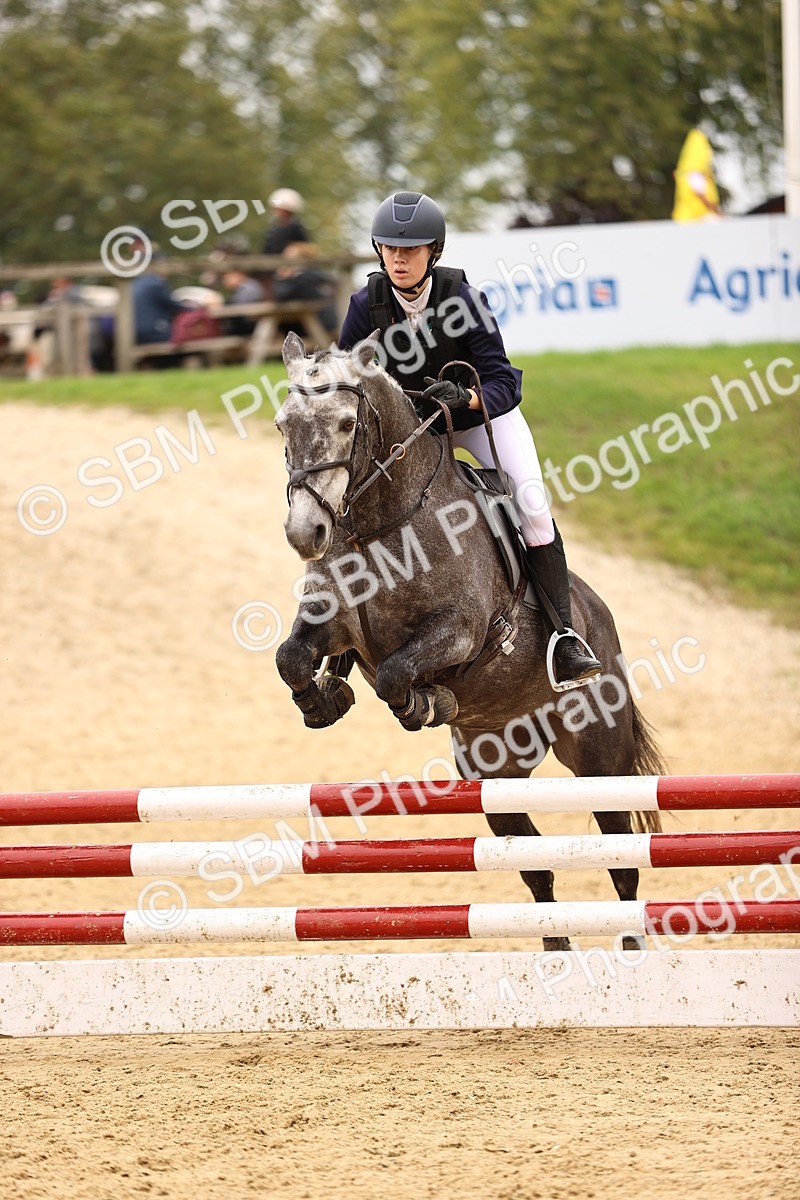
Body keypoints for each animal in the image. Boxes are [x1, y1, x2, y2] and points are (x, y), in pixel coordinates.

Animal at [274, 331, 667, 950]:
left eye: (345, 424)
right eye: (282, 426)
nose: (304, 533)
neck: (381, 526)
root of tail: (600, 618)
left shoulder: (459, 630)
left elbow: (397, 673)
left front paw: (427, 702)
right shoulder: (329, 623)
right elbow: (291, 657)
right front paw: (324, 701)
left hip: (601, 758)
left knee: (621, 857)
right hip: (495, 773)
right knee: (535, 866)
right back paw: (556, 950)